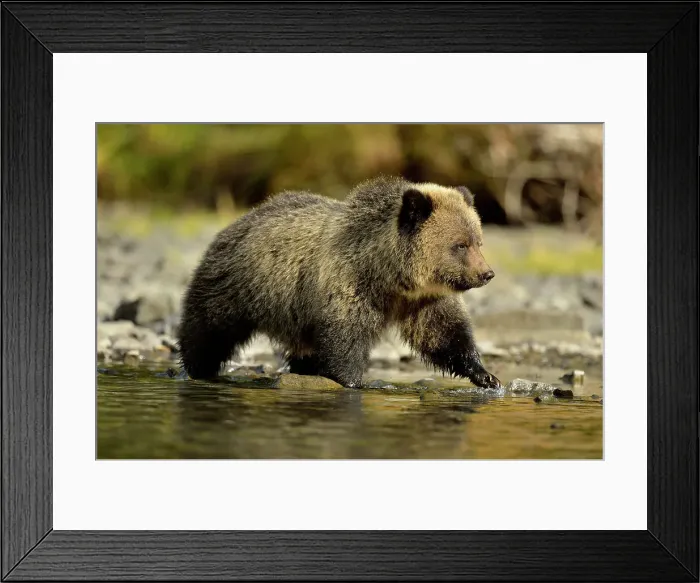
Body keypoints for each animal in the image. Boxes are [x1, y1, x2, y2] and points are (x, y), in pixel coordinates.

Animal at [178, 176, 500, 389]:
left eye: (478, 241)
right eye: (460, 245)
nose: (487, 273)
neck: (389, 277)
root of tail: (242, 219)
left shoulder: (425, 300)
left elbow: (444, 335)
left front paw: (486, 375)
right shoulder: (349, 286)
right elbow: (345, 339)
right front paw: (354, 381)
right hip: (236, 285)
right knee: (207, 330)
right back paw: (194, 368)